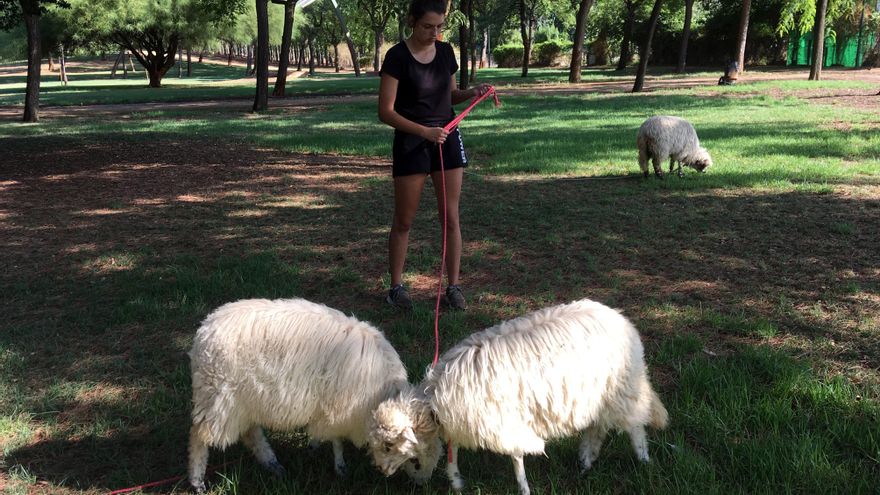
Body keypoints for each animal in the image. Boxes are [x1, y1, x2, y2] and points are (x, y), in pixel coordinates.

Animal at [187, 298, 435, 493]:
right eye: (390, 446)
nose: (384, 472)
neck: (382, 389)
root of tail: (205, 329)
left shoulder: (333, 408)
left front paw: (314, 446)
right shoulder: (339, 408)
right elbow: (337, 440)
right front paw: (339, 467)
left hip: (245, 400)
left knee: (251, 432)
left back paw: (272, 464)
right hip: (216, 396)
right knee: (199, 436)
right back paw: (198, 481)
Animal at [367, 298, 668, 495]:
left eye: (389, 445)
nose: (380, 472)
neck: (435, 401)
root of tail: (620, 319)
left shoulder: (503, 423)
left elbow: (515, 456)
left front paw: (523, 488)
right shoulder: (468, 420)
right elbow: (454, 449)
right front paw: (456, 481)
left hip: (622, 389)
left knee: (635, 425)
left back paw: (643, 459)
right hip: (595, 396)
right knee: (597, 428)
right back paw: (585, 461)